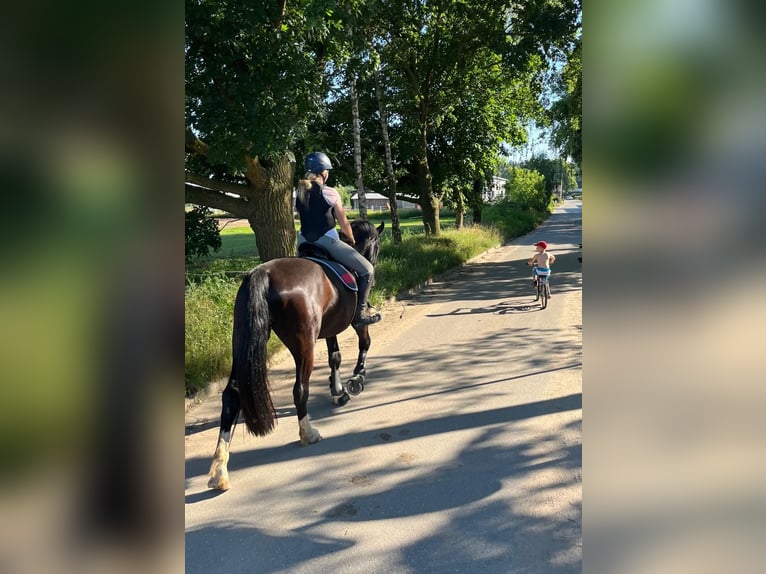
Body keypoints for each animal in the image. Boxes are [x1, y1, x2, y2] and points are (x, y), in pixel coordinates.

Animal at [207, 219, 388, 490]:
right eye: (377, 244)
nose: (374, 265)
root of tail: (263, 274)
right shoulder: (355, 322)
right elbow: (364, 344)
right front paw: (355, 381)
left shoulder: (331, 327)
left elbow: (335, 356)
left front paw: (337, 390)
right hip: (304, 345)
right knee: (300, 389)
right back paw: (308, 433)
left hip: (242, 342)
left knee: (232, 394)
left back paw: (220, 470)